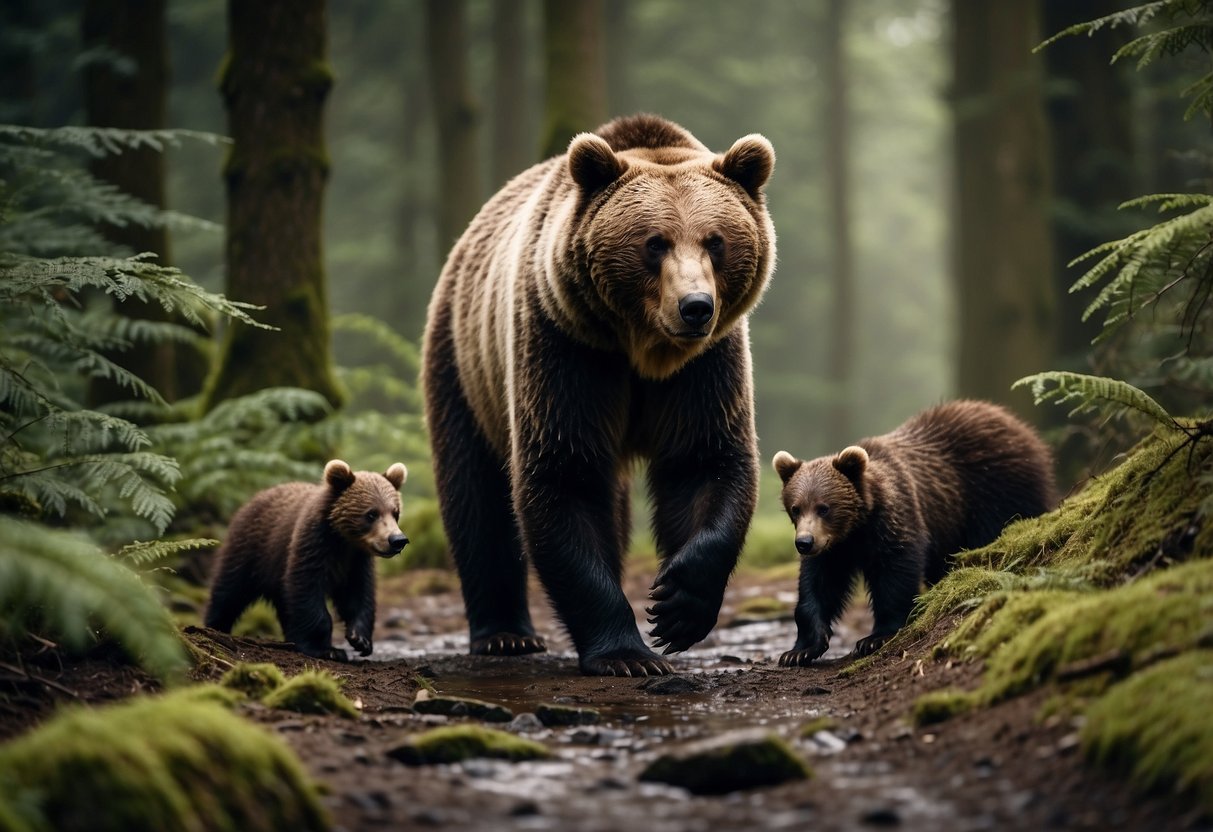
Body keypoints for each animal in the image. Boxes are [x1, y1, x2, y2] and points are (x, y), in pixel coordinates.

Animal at [206, 458, 409, 659]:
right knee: (230, 590)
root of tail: (255, 497)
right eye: (371, 513)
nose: (398, 540)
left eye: (395, 512)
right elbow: (307, 588)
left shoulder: (356, 561)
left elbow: (359, 593)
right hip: (252, 549)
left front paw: (360, 639)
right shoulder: (312, 545)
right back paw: (216, 626)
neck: (343, 540)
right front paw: (327, 649)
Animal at [422, 114, 771, 679]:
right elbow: (565, 475)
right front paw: (627, 653)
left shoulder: (704, 368)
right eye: (655, 242)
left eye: (715, 241)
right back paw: (504, 633)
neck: (643, 351)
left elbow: (704, 461)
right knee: (475, 492)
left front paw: (677, 606)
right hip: (464, 361)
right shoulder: (568, 348)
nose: (695, 306)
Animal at [776, 400, 1052, 669]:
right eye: (796, 508)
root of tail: (1015, 423)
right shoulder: (834, 548)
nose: (804, 542)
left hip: (996, 491)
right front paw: (799, 651)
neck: (856, 528)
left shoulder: (894, 521)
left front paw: (874, 638)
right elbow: (817, 584)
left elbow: (895, 574)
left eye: (824, 507)